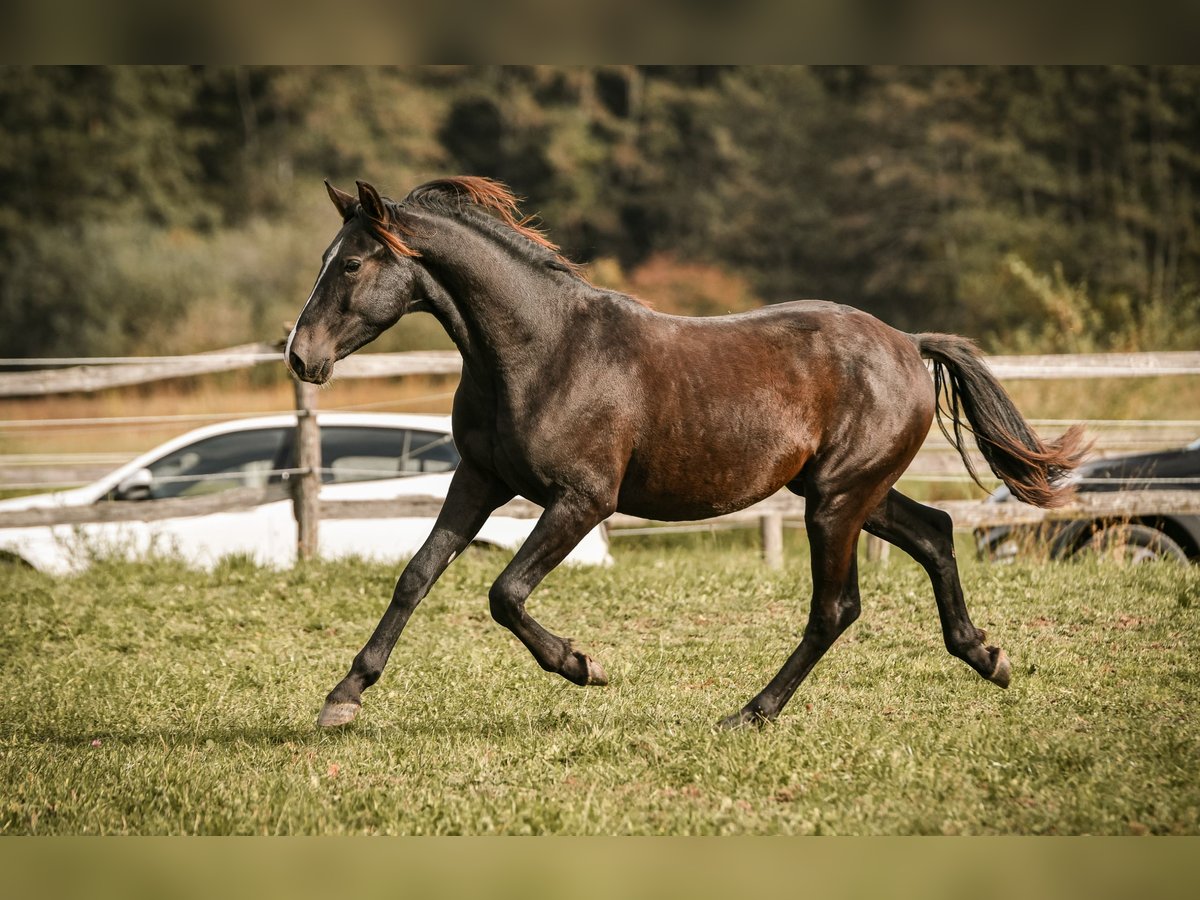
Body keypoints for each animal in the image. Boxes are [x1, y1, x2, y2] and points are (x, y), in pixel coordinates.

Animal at [286, 176, 1087, 729]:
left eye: (351, 265)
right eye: (325, 258)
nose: (300, 356)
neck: (542, 351)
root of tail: (908, 345)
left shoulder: (583, 500)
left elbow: (504, 593)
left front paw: (583, 666)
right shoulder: (479, 479)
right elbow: (416, 576)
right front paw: (342, 698)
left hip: (836, 502)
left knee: (835, 607)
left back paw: (751, 713)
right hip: (849, 493)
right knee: (936, 534)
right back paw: (987, 656)